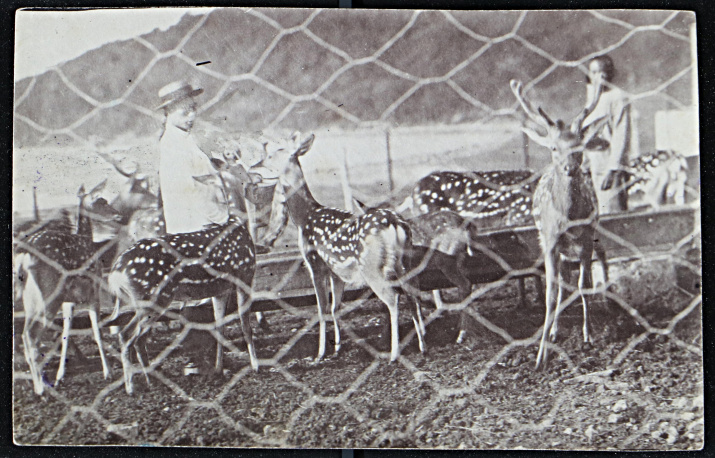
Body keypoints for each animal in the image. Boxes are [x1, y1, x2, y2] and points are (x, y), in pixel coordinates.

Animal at [15, 181, 121, 396]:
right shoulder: (93, 291)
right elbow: (97, 331)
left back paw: (42, 383)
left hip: (30, 299)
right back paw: (41, 388)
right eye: (101, 201)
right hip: (48, 296)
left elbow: (66, 332)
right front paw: (108, 372)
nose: (117, 215)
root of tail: (23, 257)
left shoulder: (69, 301)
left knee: (25, 334)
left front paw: (60, 376)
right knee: (31, 336)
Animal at [107, 158, 258, 394]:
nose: (255, 179)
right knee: (127, 335)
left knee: (137, 338)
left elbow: (219, 327)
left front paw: (219, 369)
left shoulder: (220, 289)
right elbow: (245, 326)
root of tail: (116, 272)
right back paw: (132, 387)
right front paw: (256, 366)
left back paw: (153, 381)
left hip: (142, 301)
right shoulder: (245, 275)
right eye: (239, 167)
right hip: (154, 298)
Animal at [264, 131, 428, 362]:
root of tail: (395, 224)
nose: (259, 162)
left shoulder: (315, 263)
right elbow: (336, 307)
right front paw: (337, 348)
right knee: (414, 293)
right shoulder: (336, 270)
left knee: (393, 298)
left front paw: (320, 353)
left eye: (276, 151)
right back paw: (423, 345)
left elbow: (322, 308)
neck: (304, 217)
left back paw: (394, 354)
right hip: (406, 261)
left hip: (372, 266)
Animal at [512, 78, 608, 368]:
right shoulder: (551, 242)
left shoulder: (587, 238)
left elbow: (585, 286)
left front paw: (588, 336)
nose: (569, 168)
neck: (569, 218)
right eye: (554, 148)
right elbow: (551, 295)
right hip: (551, 244)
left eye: (579, 147)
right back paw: (554, 331)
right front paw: (540, 356)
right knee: (561, 283)